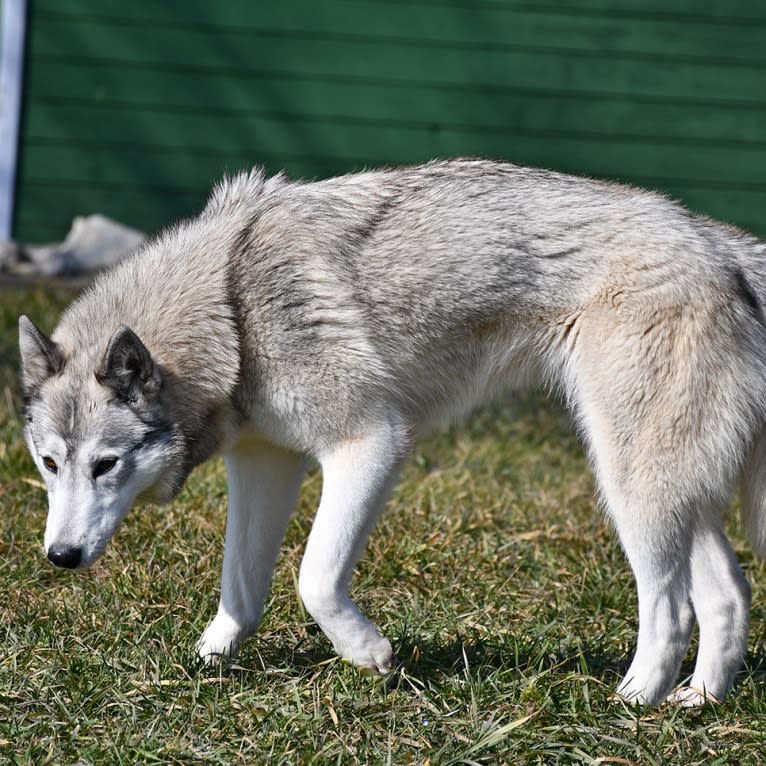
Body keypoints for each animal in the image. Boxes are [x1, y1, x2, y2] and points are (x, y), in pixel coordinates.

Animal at [16, 158, 766, 708]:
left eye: (106, 464)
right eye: (50, 465)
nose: (60, 557)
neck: (233, 307)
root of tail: (721, 243)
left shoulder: (371, 444)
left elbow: (314, 579)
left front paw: (369, 654)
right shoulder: (264, 465)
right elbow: (242, 589)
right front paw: (204, 663)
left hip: (629, 483)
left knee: (671, 607)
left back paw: (633, 701)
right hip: (669, 490)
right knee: (727, 595)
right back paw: (698, 702)